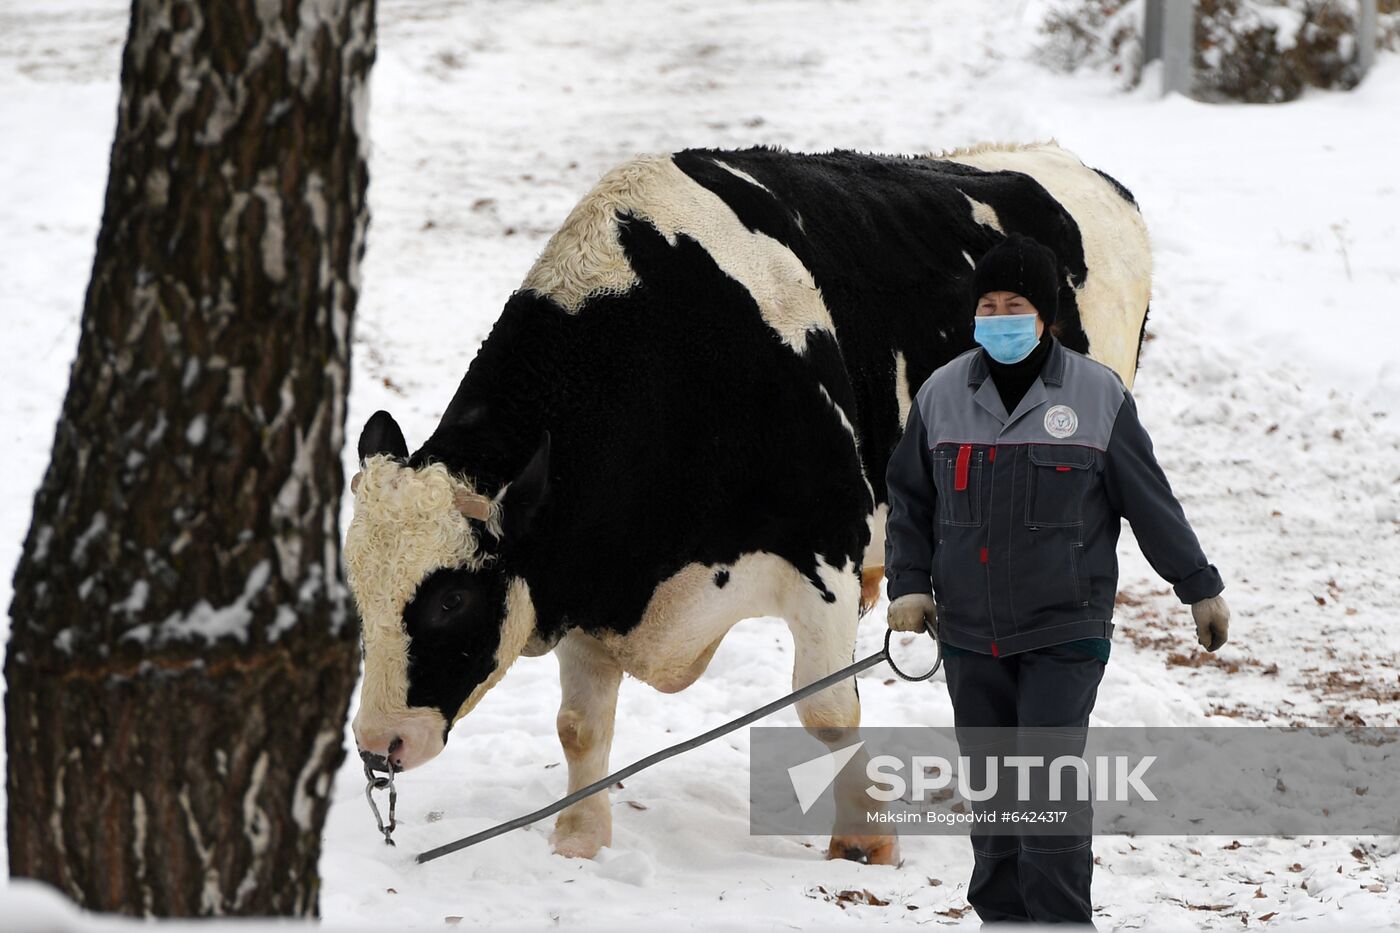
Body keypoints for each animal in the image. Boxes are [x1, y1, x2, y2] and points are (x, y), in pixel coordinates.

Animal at [341, 141, 1148, 862]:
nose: (380, 743)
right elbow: (579, 723)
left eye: (451, 599)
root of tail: (1068, 163)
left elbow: (827, 709)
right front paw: (578, 840)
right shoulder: (582, 567)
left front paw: (865, 840)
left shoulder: (823, 553)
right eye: (358, 591)